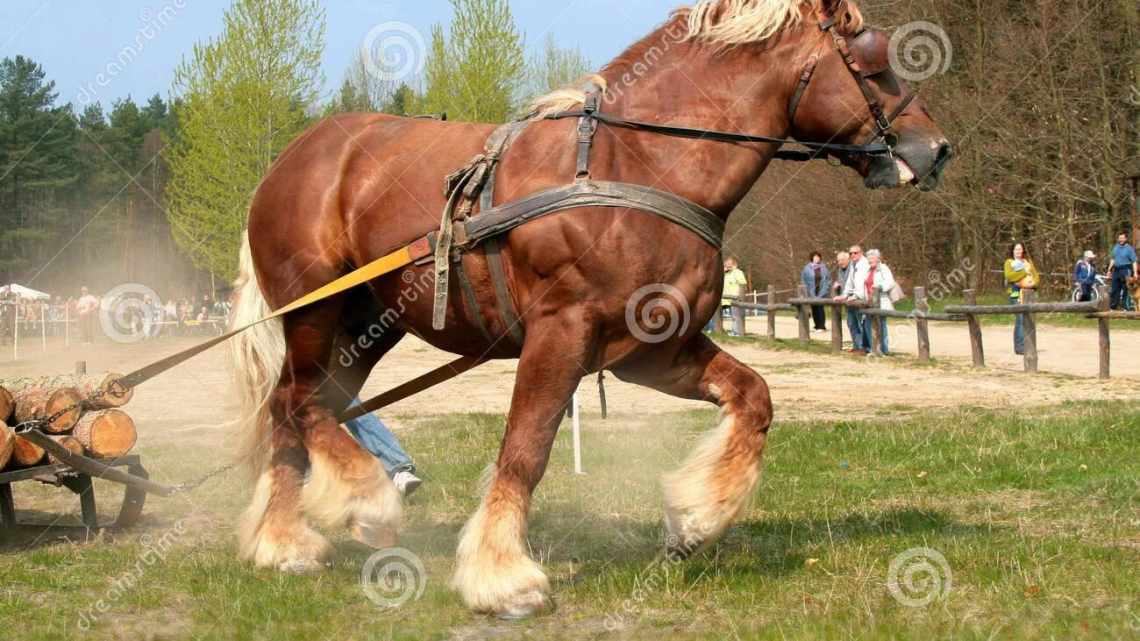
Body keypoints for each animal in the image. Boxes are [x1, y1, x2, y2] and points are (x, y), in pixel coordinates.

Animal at [226, 0, 948, 615]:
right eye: (873, 59)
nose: (936, 149)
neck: (642, 163)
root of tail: (292, 159)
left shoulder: (654, 348)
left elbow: (753, 397)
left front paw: (696, 518)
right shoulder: (561, 331)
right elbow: (526, 447)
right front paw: (501, 575)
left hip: (369, 325)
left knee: (297, 405)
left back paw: (283, 542)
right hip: (316, 311)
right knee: (303, 404)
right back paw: (362, 500)